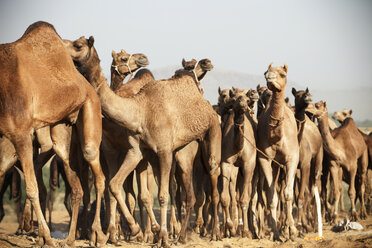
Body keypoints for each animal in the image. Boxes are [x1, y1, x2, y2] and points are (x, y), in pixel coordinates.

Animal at [0, 22, 108, 247]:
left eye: (78, 45)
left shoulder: (21, 133)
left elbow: (32, 188)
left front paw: (47, 237)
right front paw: (41, 234)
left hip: (90, 108)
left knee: (96, 171)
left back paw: (96, 234)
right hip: (61, 131)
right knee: (76, 186)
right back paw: (70, 237)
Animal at [63, 35, 221, 247]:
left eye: (78, 45)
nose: (142, 58)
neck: (140, 111)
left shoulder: (163, 151)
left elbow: (161, 195)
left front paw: (161, 237)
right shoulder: (136, 151)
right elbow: (114, 184)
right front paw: (135, 230)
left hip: (212, 130)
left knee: (211, 177)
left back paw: (213, 233)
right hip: (183, 149)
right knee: (191, 193)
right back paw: (181, 236)